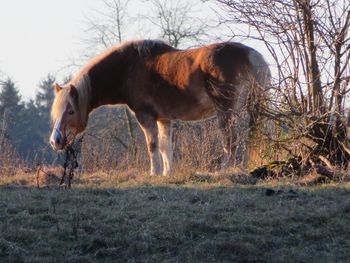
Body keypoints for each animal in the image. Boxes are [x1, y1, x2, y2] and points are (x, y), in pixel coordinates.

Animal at [50, 39, 270, 175]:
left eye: (71, 111)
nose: (55, 141)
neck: (127, 68)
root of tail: (251, 55)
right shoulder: (164, 118)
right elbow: (166, 146)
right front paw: (167, 172)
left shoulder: (145, 116)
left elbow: (153, 145)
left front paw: (153, 172)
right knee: (249, 137)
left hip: (226, 112)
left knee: (230, 140)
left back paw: (226, 170)